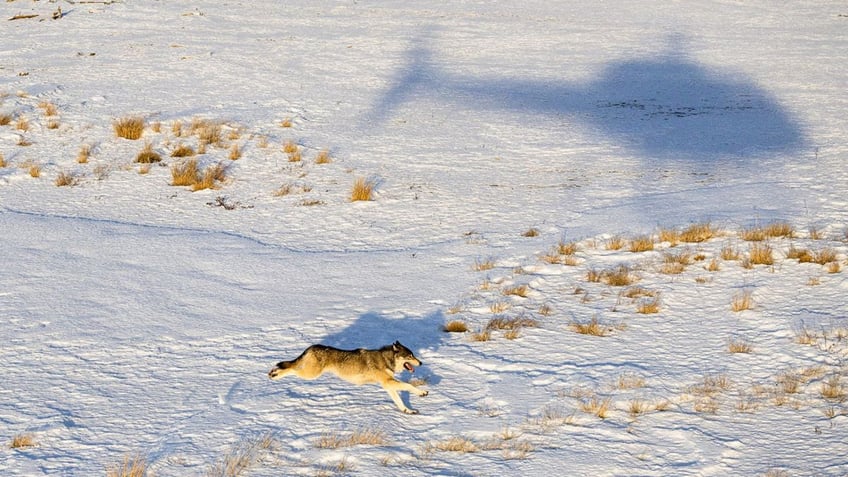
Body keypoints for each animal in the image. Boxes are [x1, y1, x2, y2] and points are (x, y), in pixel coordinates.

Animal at [268, 338, 428, 412]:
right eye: (410, 356)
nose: (421, 363)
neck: (386, 359)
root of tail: (311, 347)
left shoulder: (388, 385)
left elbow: (399, 401)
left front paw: (408, 411)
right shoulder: (388, 382)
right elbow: (408, 385)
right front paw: (422, 393)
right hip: (310, 374)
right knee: (290, 368)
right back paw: (273, 374)